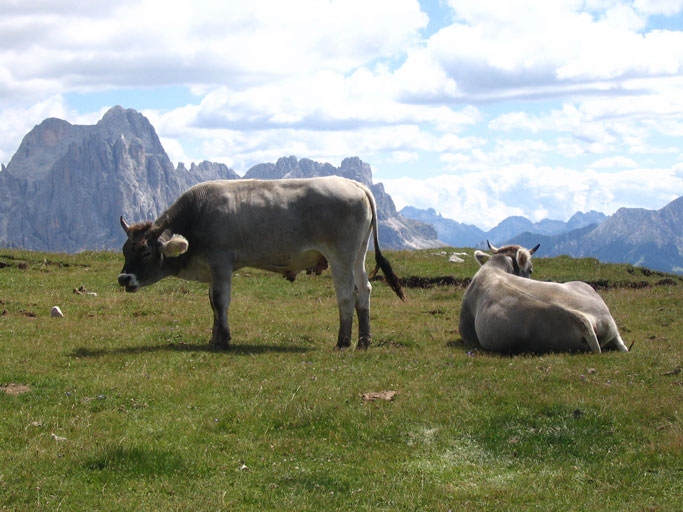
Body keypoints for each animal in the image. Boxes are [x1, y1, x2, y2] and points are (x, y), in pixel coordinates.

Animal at [118, 175, 406, 348]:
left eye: (145, 252)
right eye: (124, 250)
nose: (123, 278)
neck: (197, 215)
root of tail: (354, 184)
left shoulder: (221, 261)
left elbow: (220, 301)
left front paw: (223, 339)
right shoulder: (213, 268)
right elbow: (212, 302)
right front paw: (214, 338)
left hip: (341, 255)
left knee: (347, 293)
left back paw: (343, 342)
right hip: (359, 254)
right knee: (364, 290)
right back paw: (364, 341)